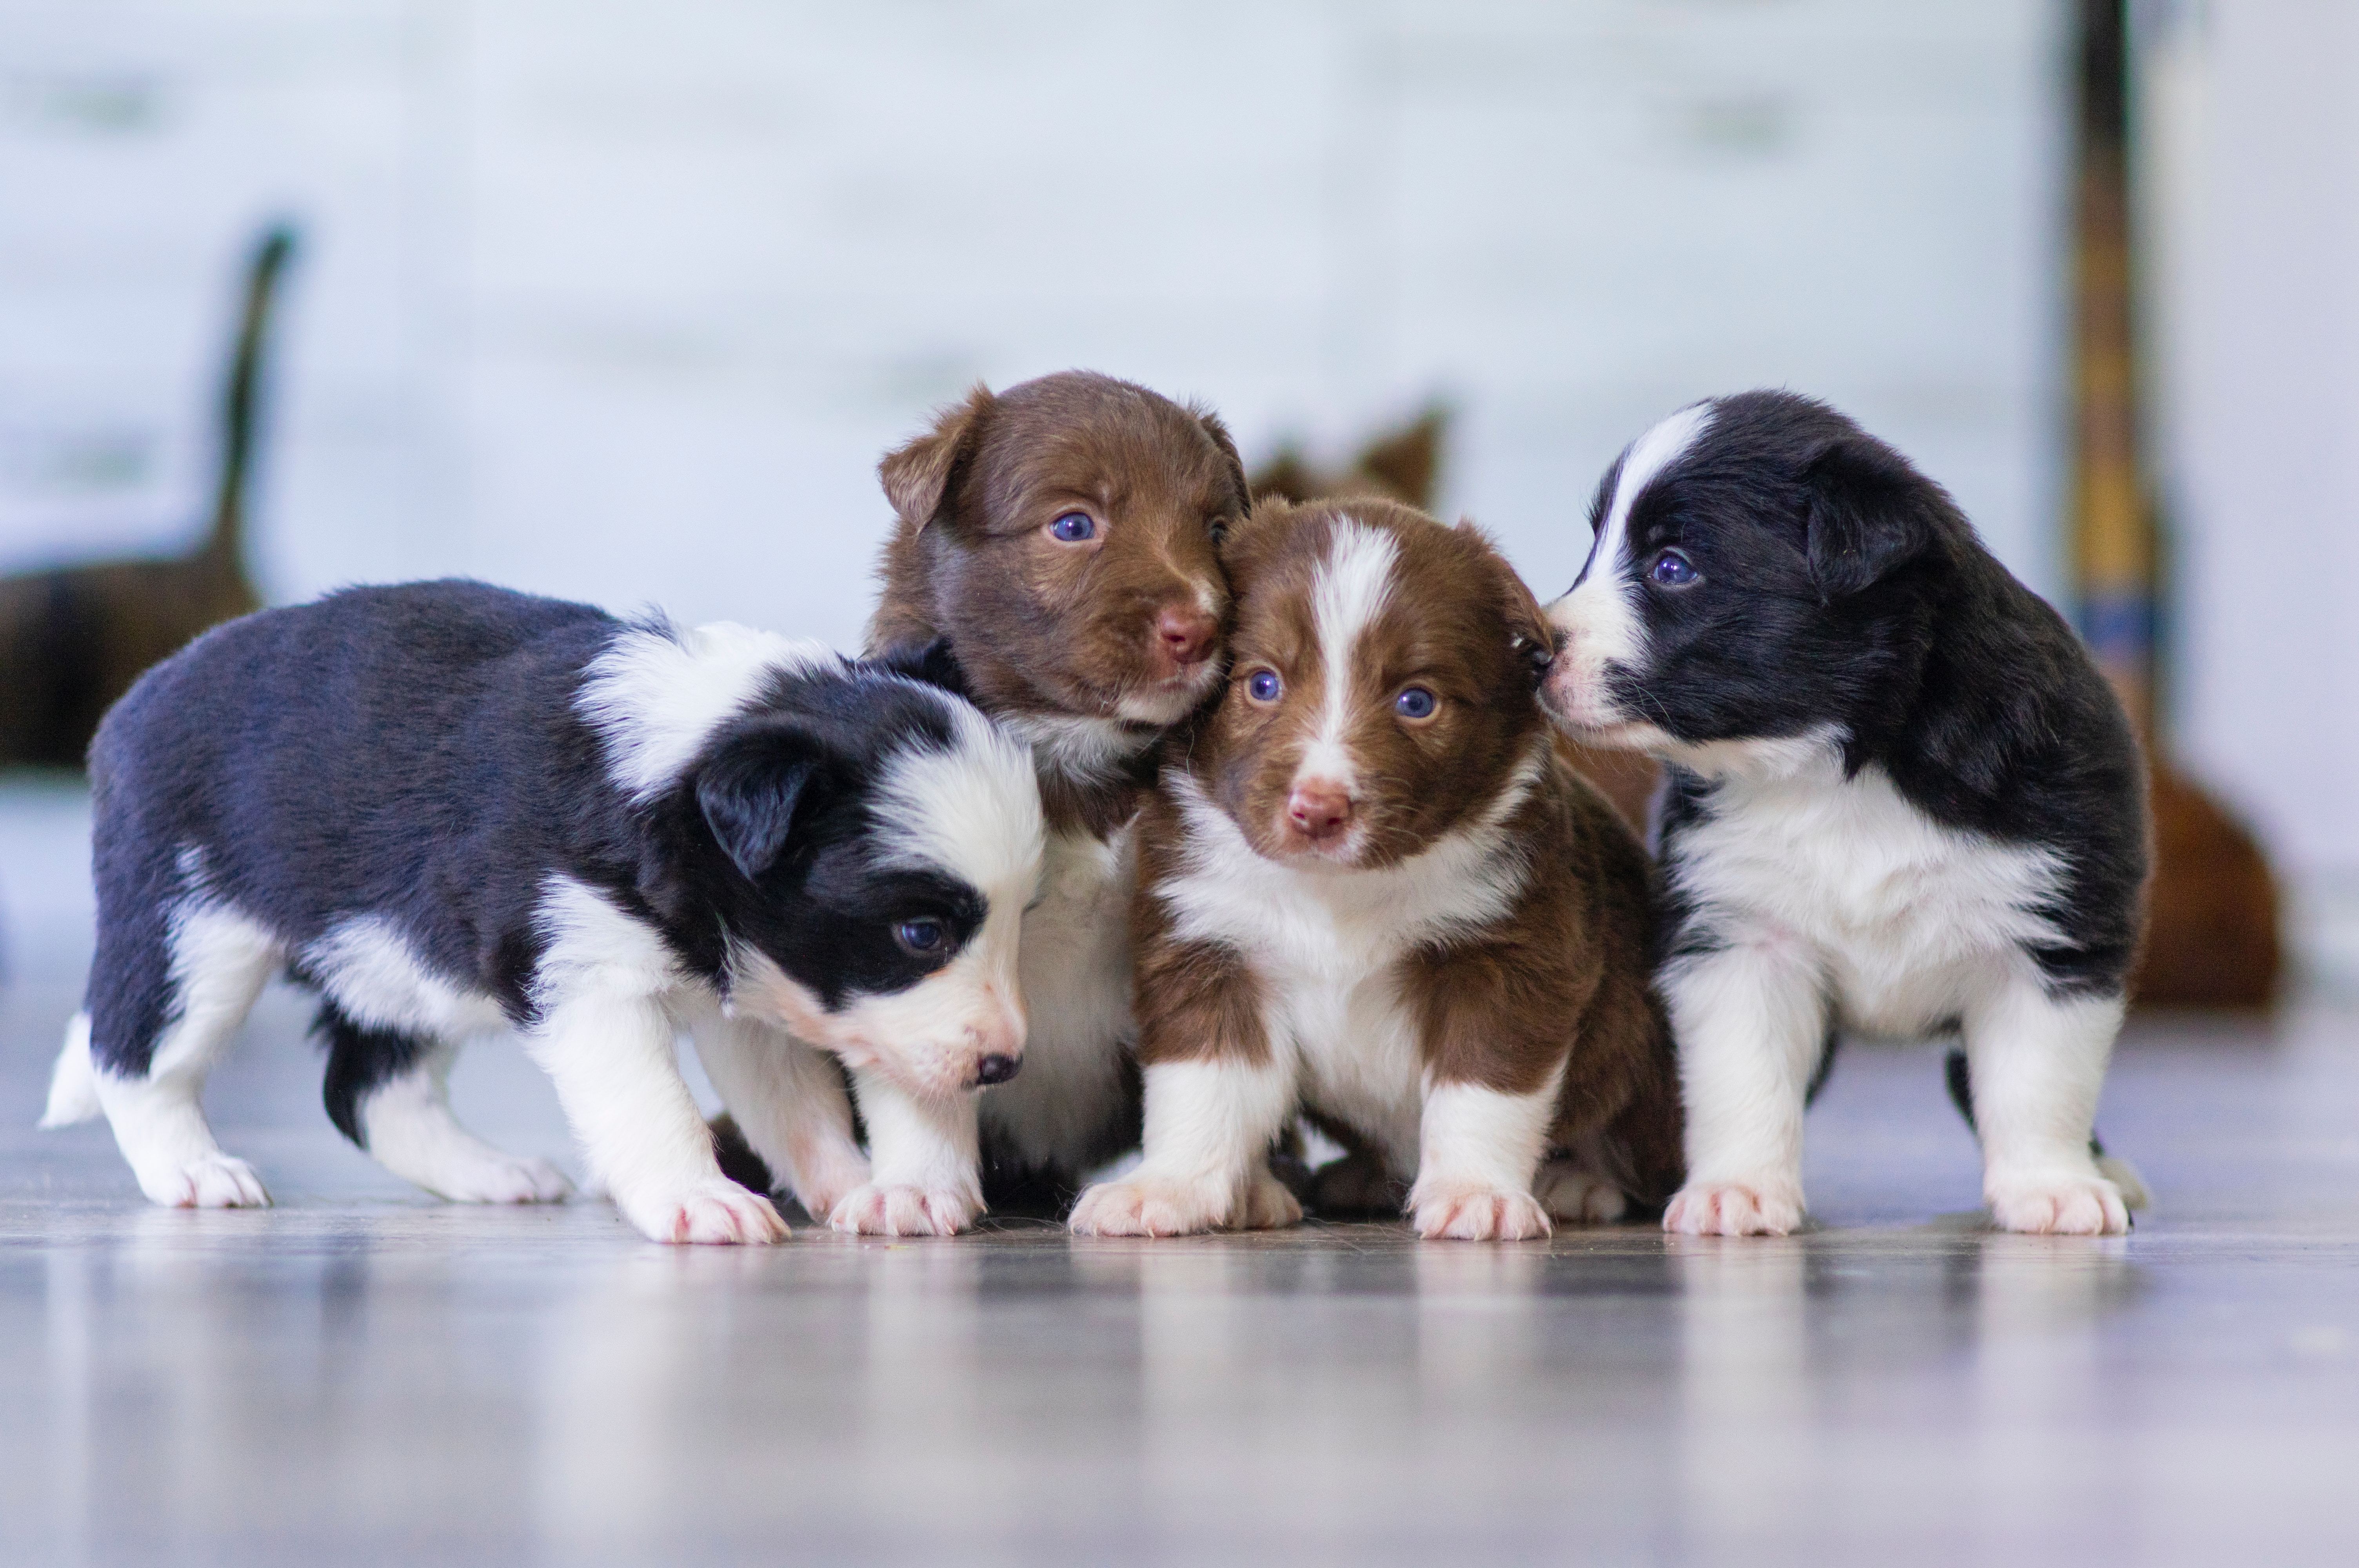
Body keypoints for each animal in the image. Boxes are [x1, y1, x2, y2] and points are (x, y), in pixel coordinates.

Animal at [37, 580, 1043, 1245]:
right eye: (920, 934)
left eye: (1020, 918)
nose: (1003, 1065)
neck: (683, 769)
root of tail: (137, 698)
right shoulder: (586, 976)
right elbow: (653, 1104)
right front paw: (699, 1199)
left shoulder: (754, 990)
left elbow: (796, 1106)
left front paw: (861, 1188)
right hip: (194, 924)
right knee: (135, 1053)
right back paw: (193, 1170)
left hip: (400, 959)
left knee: (366, 1088)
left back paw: (488, 1173)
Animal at [1071, 497, 1679, 1235]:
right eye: (1263, 684)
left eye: (1416, 701)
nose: (1318, 810)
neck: (1339, 890)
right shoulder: (1209, 946)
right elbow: (1201, 1084)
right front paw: (1164, 1187)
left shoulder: (1510, 952)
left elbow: (1482, 1088)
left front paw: (1475, 1193)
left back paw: (1578, 1182)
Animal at [1538, 391, 2151, 1235]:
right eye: (1593, 547)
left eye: (1672, 567)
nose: (1533, 648)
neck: (1835, 769)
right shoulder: (1739, 937)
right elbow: (1741, 1077)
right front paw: (1737, 1189)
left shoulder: (2051, 934)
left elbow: (2036, 1081)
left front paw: (2051, 1187)